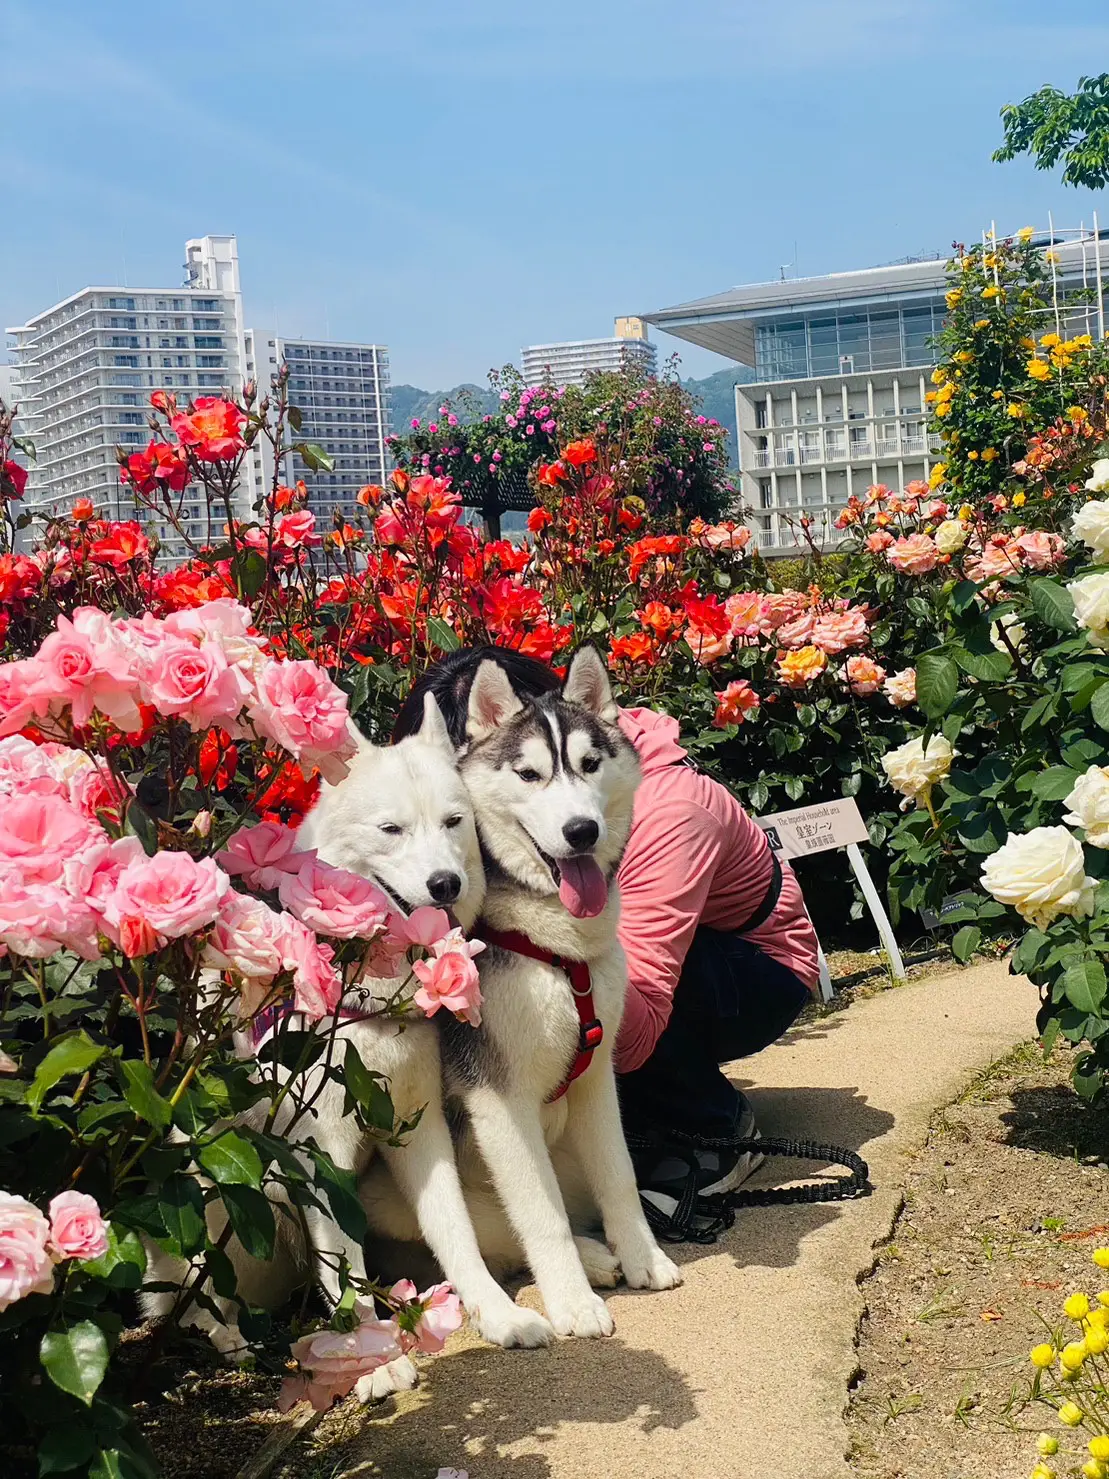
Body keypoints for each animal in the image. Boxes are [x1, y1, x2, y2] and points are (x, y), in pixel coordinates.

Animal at [143, 698, 553, 1402]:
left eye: (454, 822)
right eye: (391, 829)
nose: (445, 884)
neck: (367, 1001)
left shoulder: (419, 1131)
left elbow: (456, 1232)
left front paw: (498, 1314)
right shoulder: (322, 1153)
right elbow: (345, 1259)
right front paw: (371, 1360)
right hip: (216, 1201)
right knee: (194, 1301)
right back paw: (236, 1341)